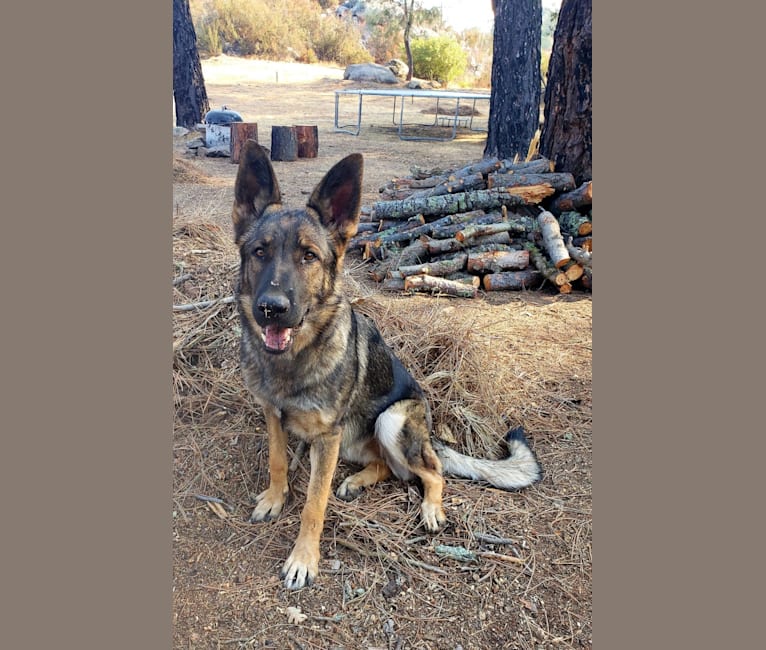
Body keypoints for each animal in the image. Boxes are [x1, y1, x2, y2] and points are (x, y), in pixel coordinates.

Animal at [231, 142, 544, 588]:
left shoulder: (327, 438)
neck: (291, 362)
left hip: (390, 420)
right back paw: (358, 480)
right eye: (260, 252)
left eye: (309, 256)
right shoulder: (273, 415)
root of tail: (430, 434)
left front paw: (303, 558)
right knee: (387, 467)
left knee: (431, 471)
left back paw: (431, 508)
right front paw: (275, 498)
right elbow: (277, 462)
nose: (271, 309)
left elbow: (313, 503)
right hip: (353, 440)